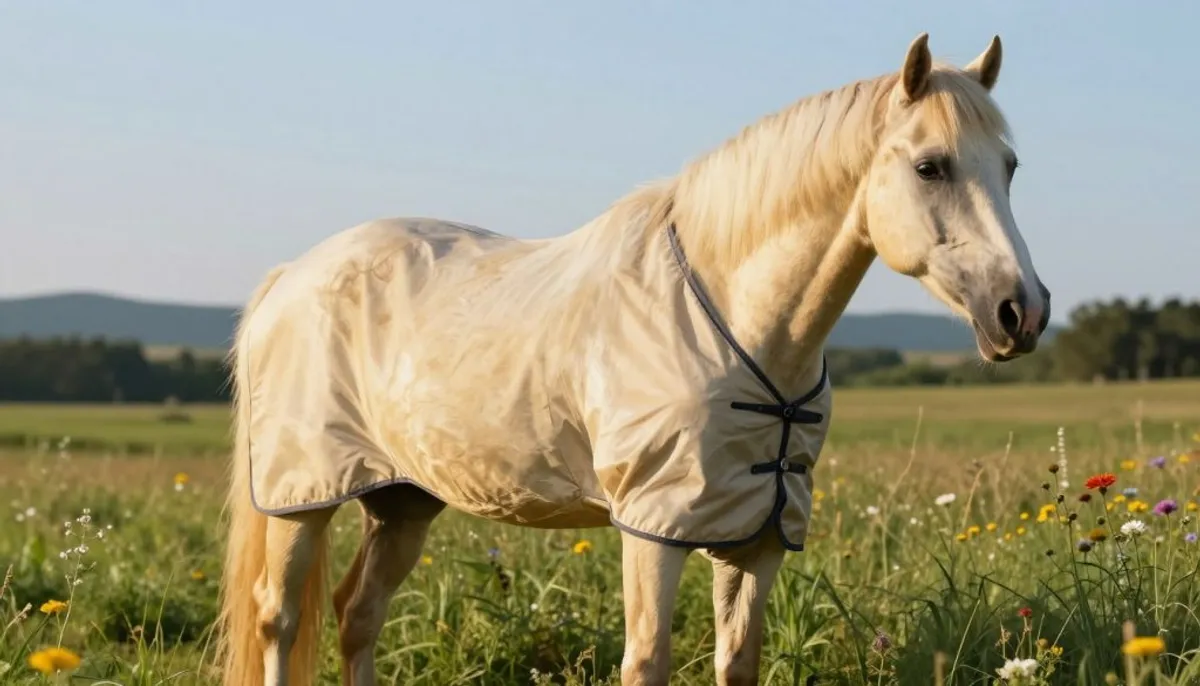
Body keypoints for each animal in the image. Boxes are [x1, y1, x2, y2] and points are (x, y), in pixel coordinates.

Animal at [216, 32, 1050, 686]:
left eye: (1010, 166)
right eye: (931, 166)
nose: (1023, 311)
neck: (736, 317)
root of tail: (290, 275)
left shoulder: (758, 533)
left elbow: (737, 662)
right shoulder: (653, 525)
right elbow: (646, 661)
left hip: (402, 500)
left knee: (357, 615)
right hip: (302, 495)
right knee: (277, 620)